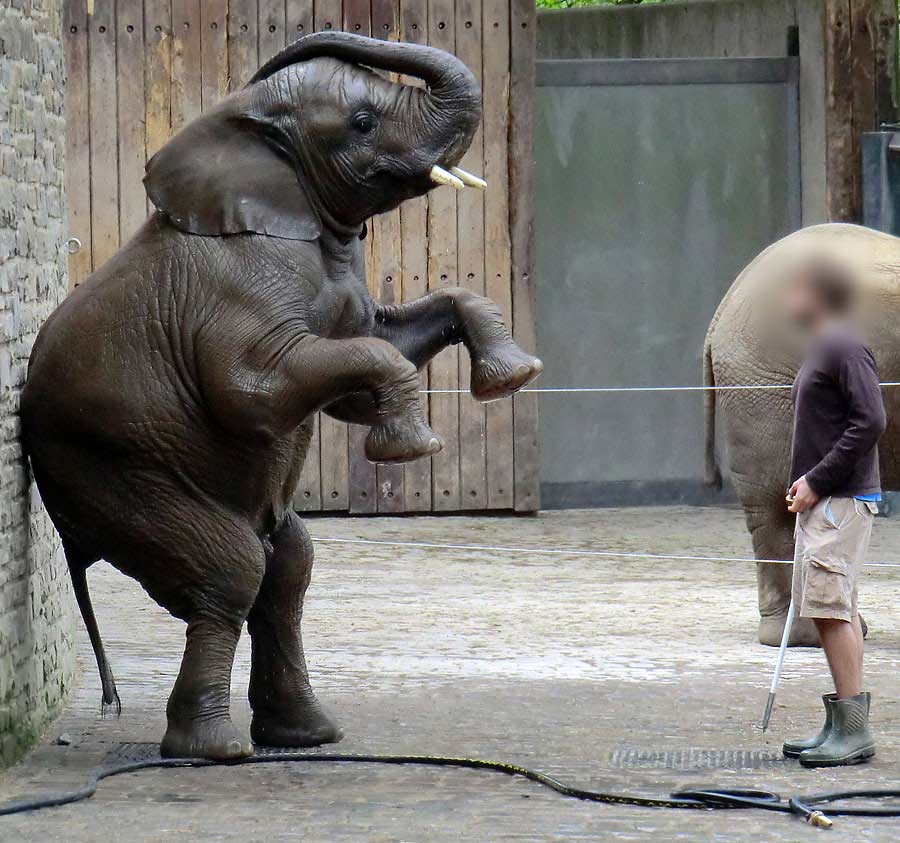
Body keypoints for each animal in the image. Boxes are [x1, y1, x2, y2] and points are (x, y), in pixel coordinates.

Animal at [21, 33, 540, 760]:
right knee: (233, 569)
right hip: (109, 470)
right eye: (362, 123)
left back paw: (306, 736)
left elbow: (378, 351)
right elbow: (255, 393)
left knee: (288, 565)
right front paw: (414, 448)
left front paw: (512, 377)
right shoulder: (233, 290)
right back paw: (213, 750)